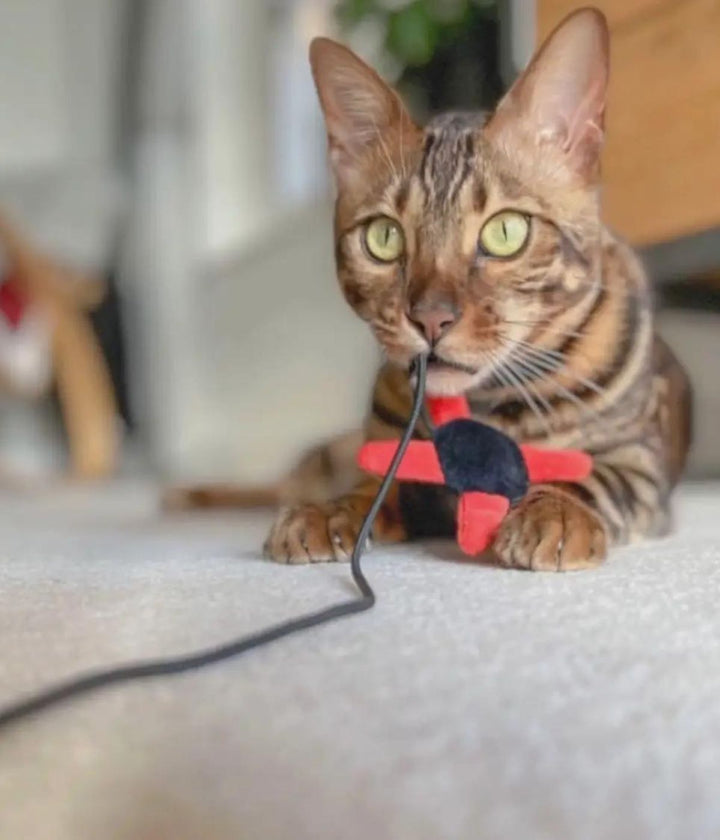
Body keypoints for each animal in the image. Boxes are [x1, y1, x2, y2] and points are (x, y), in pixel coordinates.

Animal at [169, 6, 692, 572]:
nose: (430, 319)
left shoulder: (638, 463)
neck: (485, 406)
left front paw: (554, 512)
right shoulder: (391, 462)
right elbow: (372, 488)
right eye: (384, 237)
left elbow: (589, 477)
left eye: (506, 232)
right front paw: (331, 512)